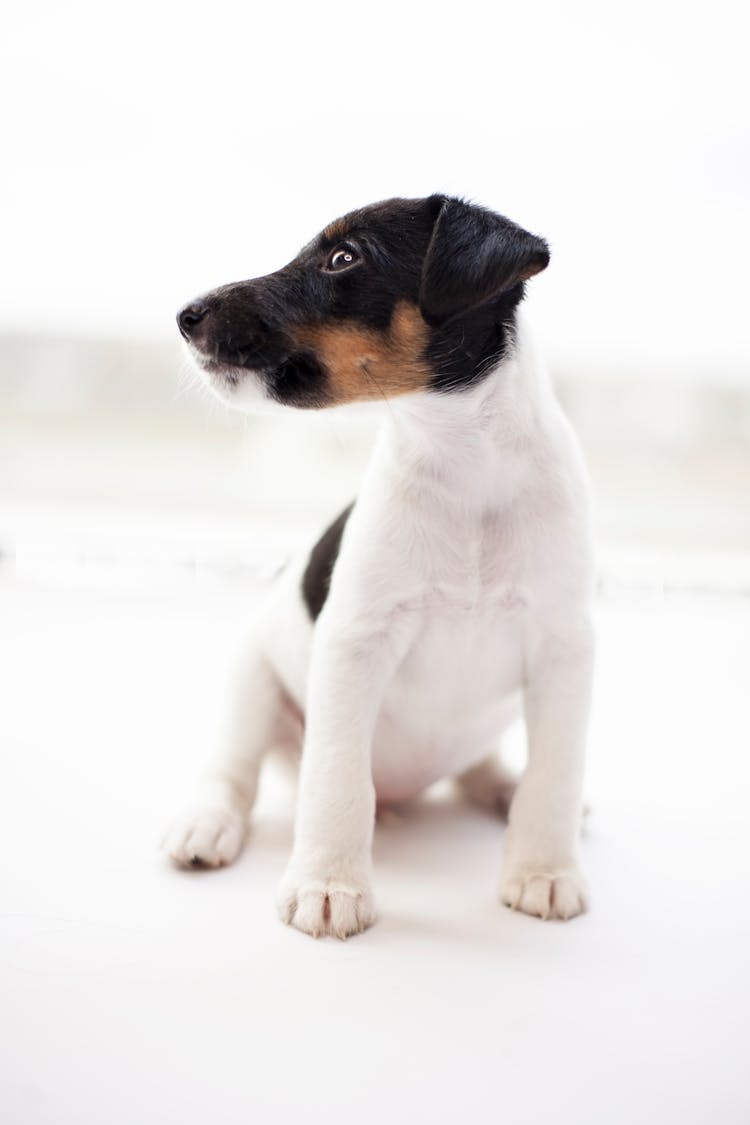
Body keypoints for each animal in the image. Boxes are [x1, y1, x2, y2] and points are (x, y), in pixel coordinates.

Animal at [165, 195, 598, 940]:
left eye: (344, 258)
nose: (186, 314)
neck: (464, 465)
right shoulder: (355, 645)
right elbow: (337, 775)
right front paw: (328, 883)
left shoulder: (563, 647)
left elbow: (555, 775)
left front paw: (544, 868)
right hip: (253, 683)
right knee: (232, 773)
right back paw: (207, 825)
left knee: (484, 769)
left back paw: (503, 787)